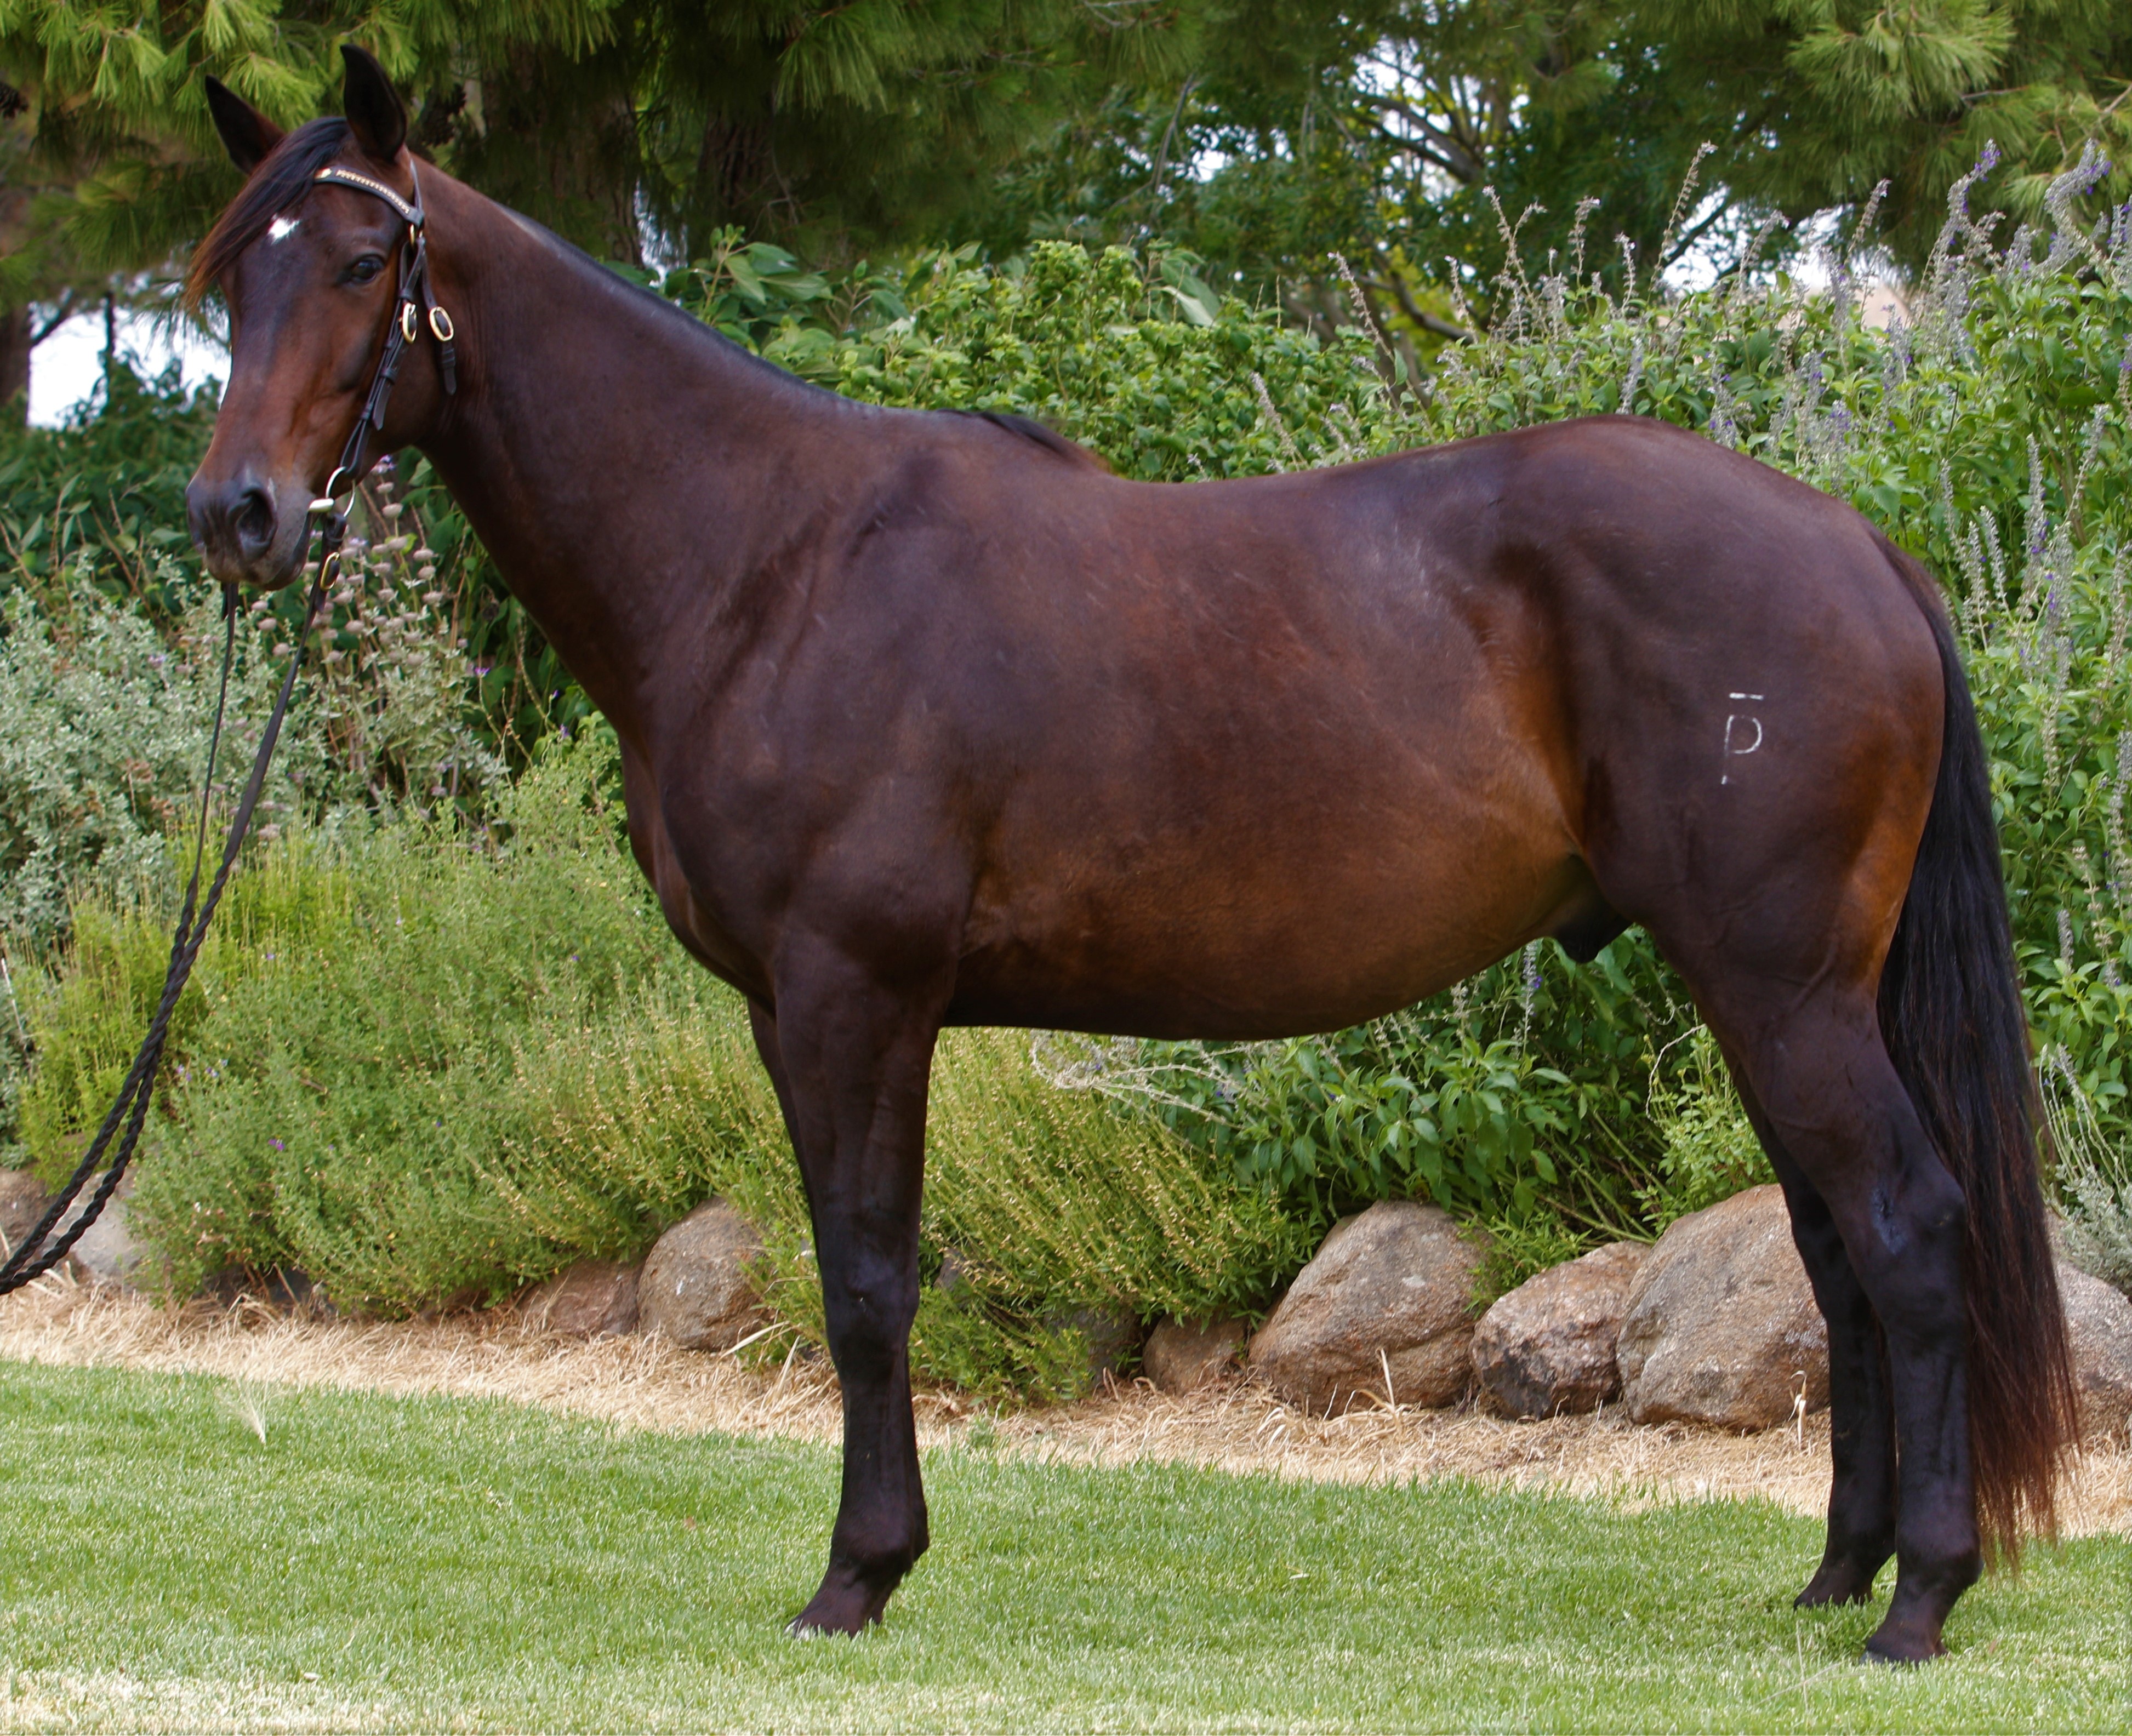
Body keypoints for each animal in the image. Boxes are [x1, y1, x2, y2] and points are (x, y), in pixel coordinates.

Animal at [184, 48, 2074, 1662]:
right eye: (227, 281)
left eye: (362, 260)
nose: (236, 516)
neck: (765, 562)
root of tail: (1859, 548)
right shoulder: (784, 1013)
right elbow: (853, 1269)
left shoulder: (853, 995)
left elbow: (867, 1280)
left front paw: (857, 1578)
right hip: (1765, 992)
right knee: (1831, 1251)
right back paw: (1837, 1578)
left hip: (1782, 985)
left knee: (1904, 1232)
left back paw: (1919, 1602)